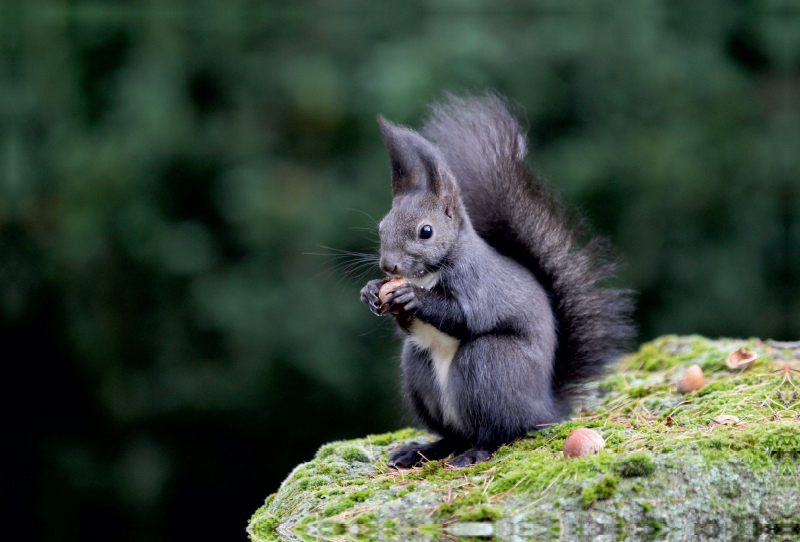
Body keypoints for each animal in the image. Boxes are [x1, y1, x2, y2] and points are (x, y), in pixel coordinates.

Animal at [360, 93, 636, 468]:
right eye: (382, 227)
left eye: (425, 231)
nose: (388, 265)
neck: (429, 275)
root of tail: (544, 408)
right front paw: (372, 292)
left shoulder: (479, 287)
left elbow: (462, 317)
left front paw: (413, 299)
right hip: (418, 370)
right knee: (453, 435)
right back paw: (422, 450)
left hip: (490, 365)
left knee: (501, 431)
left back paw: (476, 452)